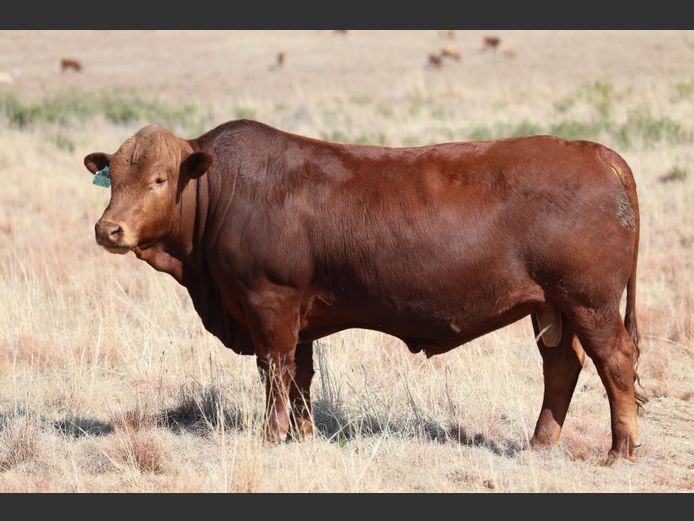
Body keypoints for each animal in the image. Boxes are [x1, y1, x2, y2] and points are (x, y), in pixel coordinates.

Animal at [84, 120, 644, 460]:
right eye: (115, 179)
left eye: (159, 179)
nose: (109, 229)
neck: (224, 191)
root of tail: (599, 153)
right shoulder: (299, 316)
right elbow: (300, 378)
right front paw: (303, 436)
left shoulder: (269, 302)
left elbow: (274, 372)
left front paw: (270, 437)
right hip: (551, 307)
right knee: (562, 366)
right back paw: (540, 444)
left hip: (589, 302)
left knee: (615, 361)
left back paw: (620, 451)